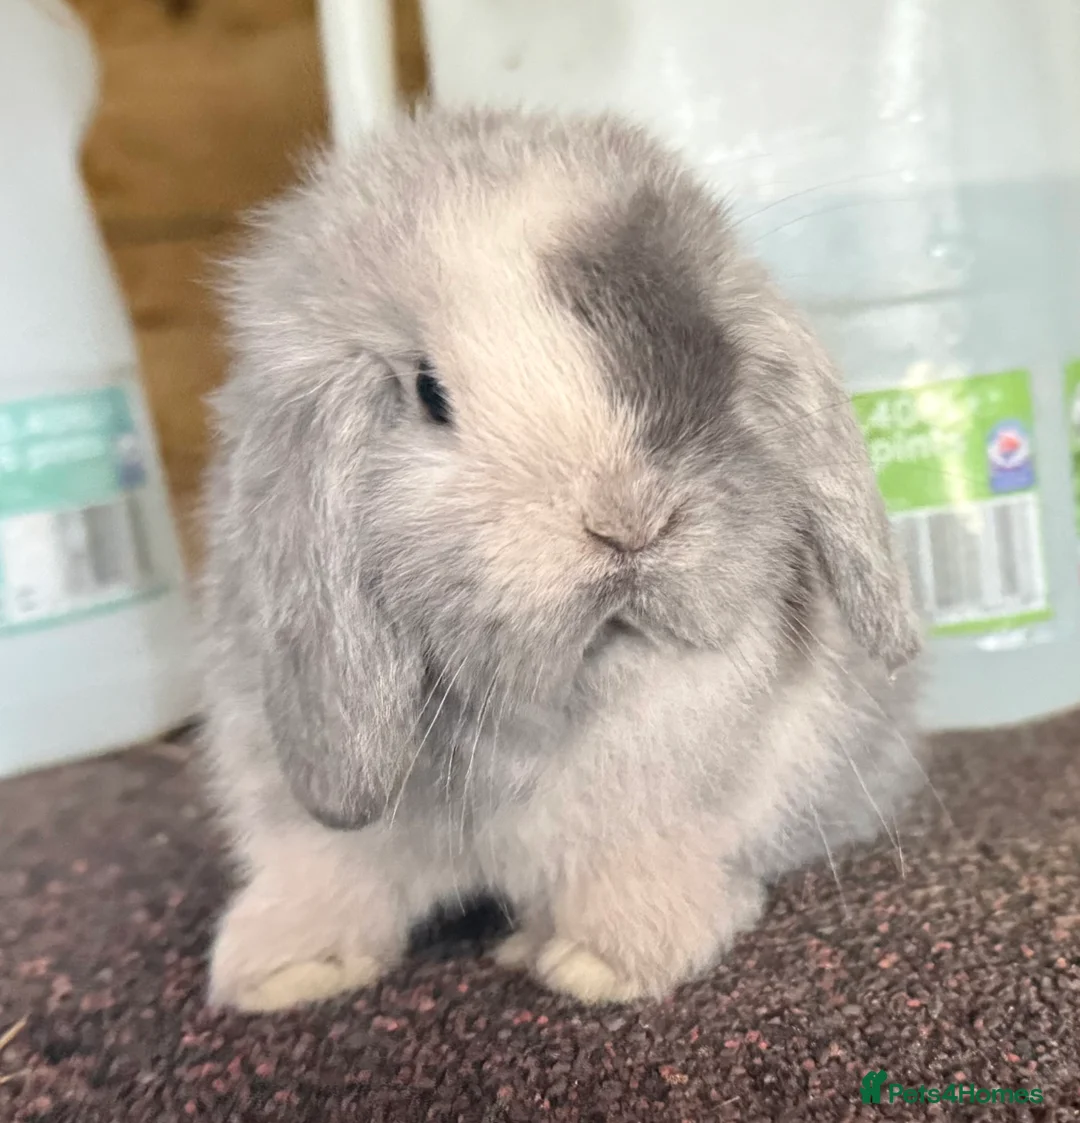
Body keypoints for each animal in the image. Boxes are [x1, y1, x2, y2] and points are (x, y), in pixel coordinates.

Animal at [199, 107, 925, 1012]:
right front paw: (281, 971)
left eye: (716, 353)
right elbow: (321, 863)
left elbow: (635, 864)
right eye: (428, 392)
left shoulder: (666, 800)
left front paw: (605, 963)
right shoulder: (278, 776)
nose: (630, 520)